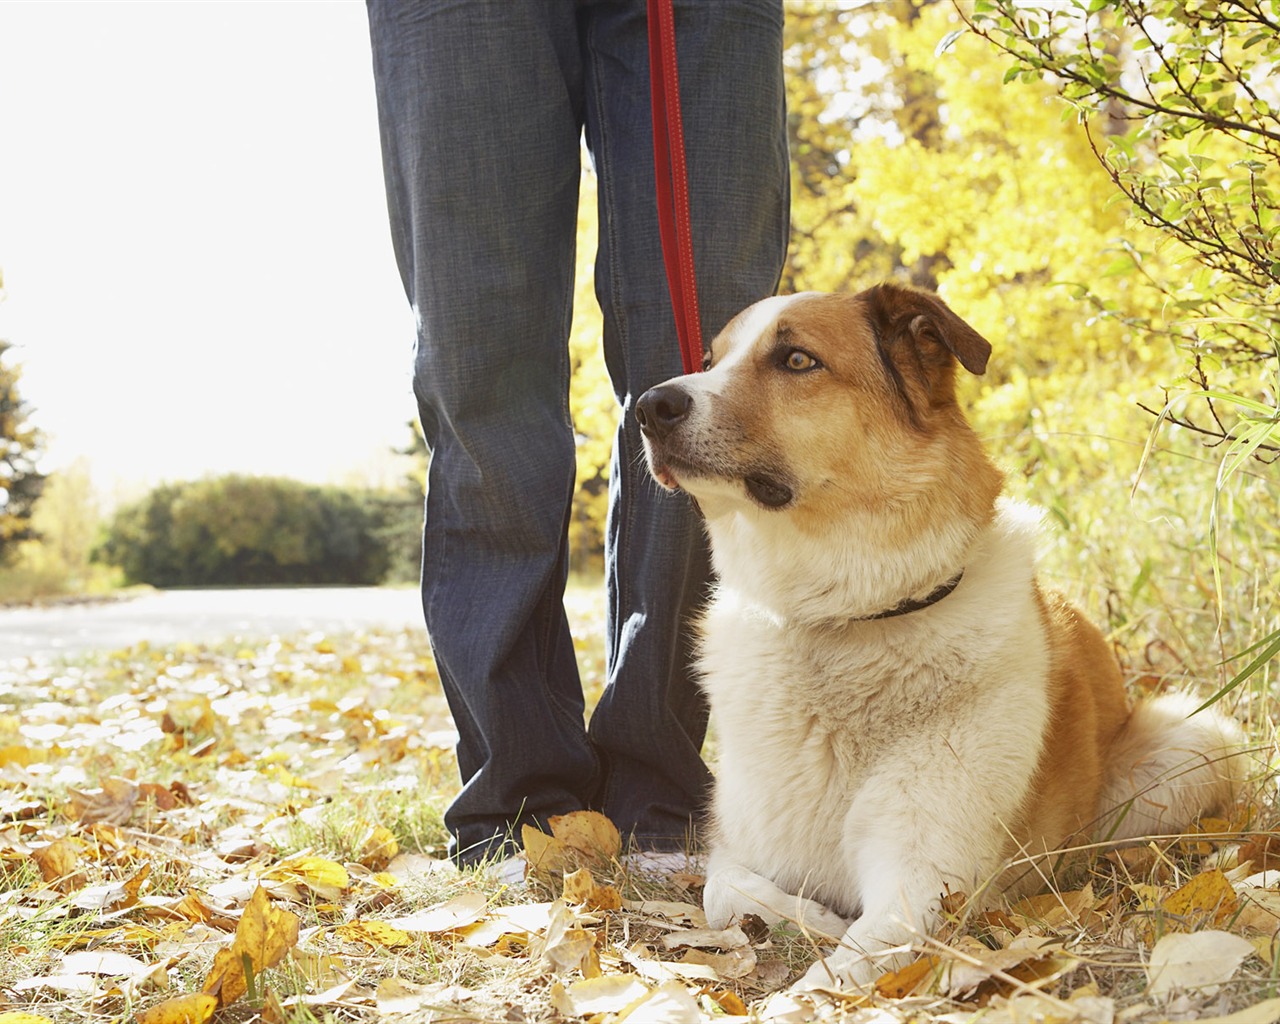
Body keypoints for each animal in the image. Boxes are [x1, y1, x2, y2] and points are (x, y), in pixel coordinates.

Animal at [634, 284, 1244, 988]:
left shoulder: (922, 884)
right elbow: (721, 892)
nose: (649, 406)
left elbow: (832, 979)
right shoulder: (739, 846)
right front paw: (814, 919)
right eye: (711, 360)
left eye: (796, 360)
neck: (844, 625)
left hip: (1196, 739)